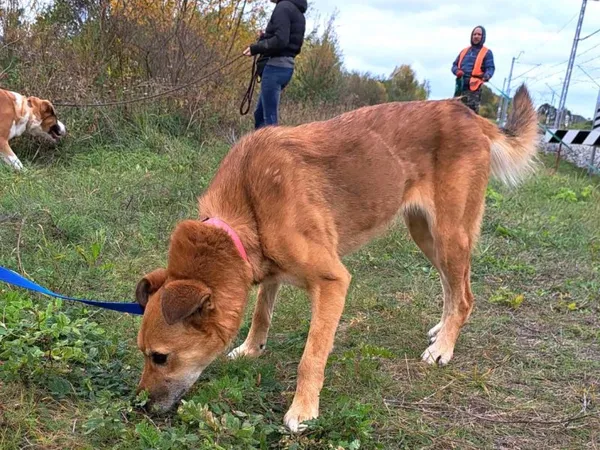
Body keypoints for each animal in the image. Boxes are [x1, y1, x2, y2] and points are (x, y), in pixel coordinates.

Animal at [136, 85, 540, 432]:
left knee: (465, 295)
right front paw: (252, 349)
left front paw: (303, 411)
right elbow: (262, 313)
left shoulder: (332, 282)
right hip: (426, 235)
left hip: (449, 235)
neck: (247, 206)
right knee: (451, 287)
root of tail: (469, 115)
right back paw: (442, 330)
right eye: (143, 353)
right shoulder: (269, 268)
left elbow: (311, 358)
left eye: (160, 356)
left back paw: (443, 348)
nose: (139, 407)